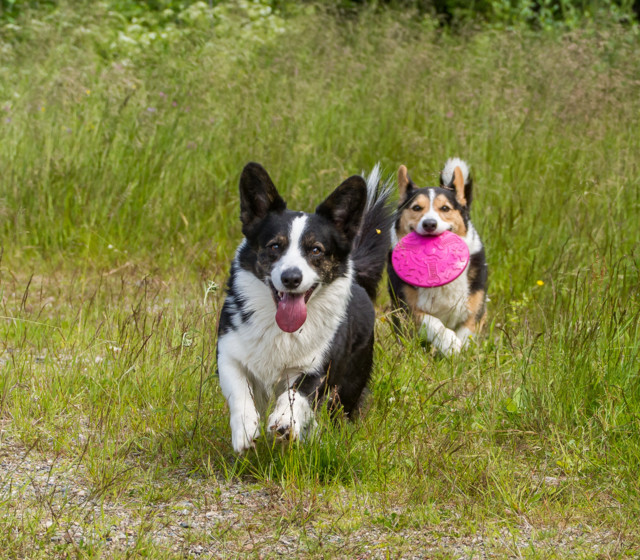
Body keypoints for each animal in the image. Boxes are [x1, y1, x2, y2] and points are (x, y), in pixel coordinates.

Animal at [218, 164, 392, 452]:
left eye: (316, 250)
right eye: (275, 246)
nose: (291, 278)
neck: (280, 329)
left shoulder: (316, 368)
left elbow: (294, 394)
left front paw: (283, 422)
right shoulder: (229, 353)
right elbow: (239, 390)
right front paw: (244, 431)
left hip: (349, 388)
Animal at [388, 159, 488, 354]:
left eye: (445, 208)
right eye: (416, 208)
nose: (429, 224)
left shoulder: (474, 310)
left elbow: (467, 332)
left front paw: (461, 351)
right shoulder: (410, 308)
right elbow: (433, 323)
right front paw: (450, 344)